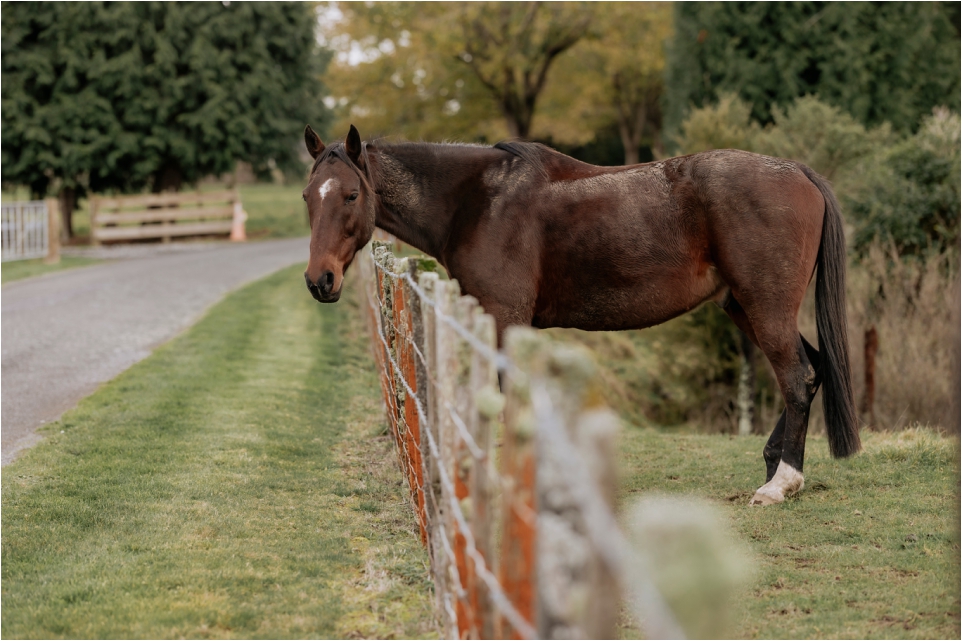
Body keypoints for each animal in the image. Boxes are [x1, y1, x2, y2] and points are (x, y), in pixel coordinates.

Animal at [300, 123, 860, 506]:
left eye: (351, 194)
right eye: (308, 196)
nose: (319, 280)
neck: (477, 201)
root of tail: (798, 171)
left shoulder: (505, 319)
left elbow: (513, 401)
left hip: (765, 308)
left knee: (796, 377)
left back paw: (782, 482)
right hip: (743, 306)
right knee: (811, 372)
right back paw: (772, 466)